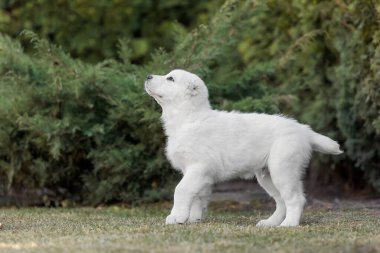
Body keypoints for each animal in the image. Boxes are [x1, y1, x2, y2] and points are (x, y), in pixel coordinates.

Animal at [144, 69, 342, 227]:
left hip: (283, 168)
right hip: (267, 175)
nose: (147, 76)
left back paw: (289, 224)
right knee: (281, 201)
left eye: (170, 79)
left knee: (295, 199)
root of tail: (303, 130)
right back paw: (270, 223)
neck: (189, 118)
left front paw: (176, 216)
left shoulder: (198, 167)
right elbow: (197, 196)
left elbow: (181, 190)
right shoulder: (196, 173)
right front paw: (193, 219)